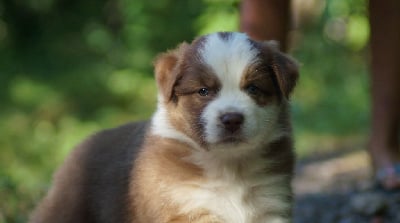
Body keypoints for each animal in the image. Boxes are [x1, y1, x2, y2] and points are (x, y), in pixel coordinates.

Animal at [29, 31, 298, 223]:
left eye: (253, 88)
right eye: (203, 91)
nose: (232, 119)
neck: (230, 166)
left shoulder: (272, 203)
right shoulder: (184, 208)